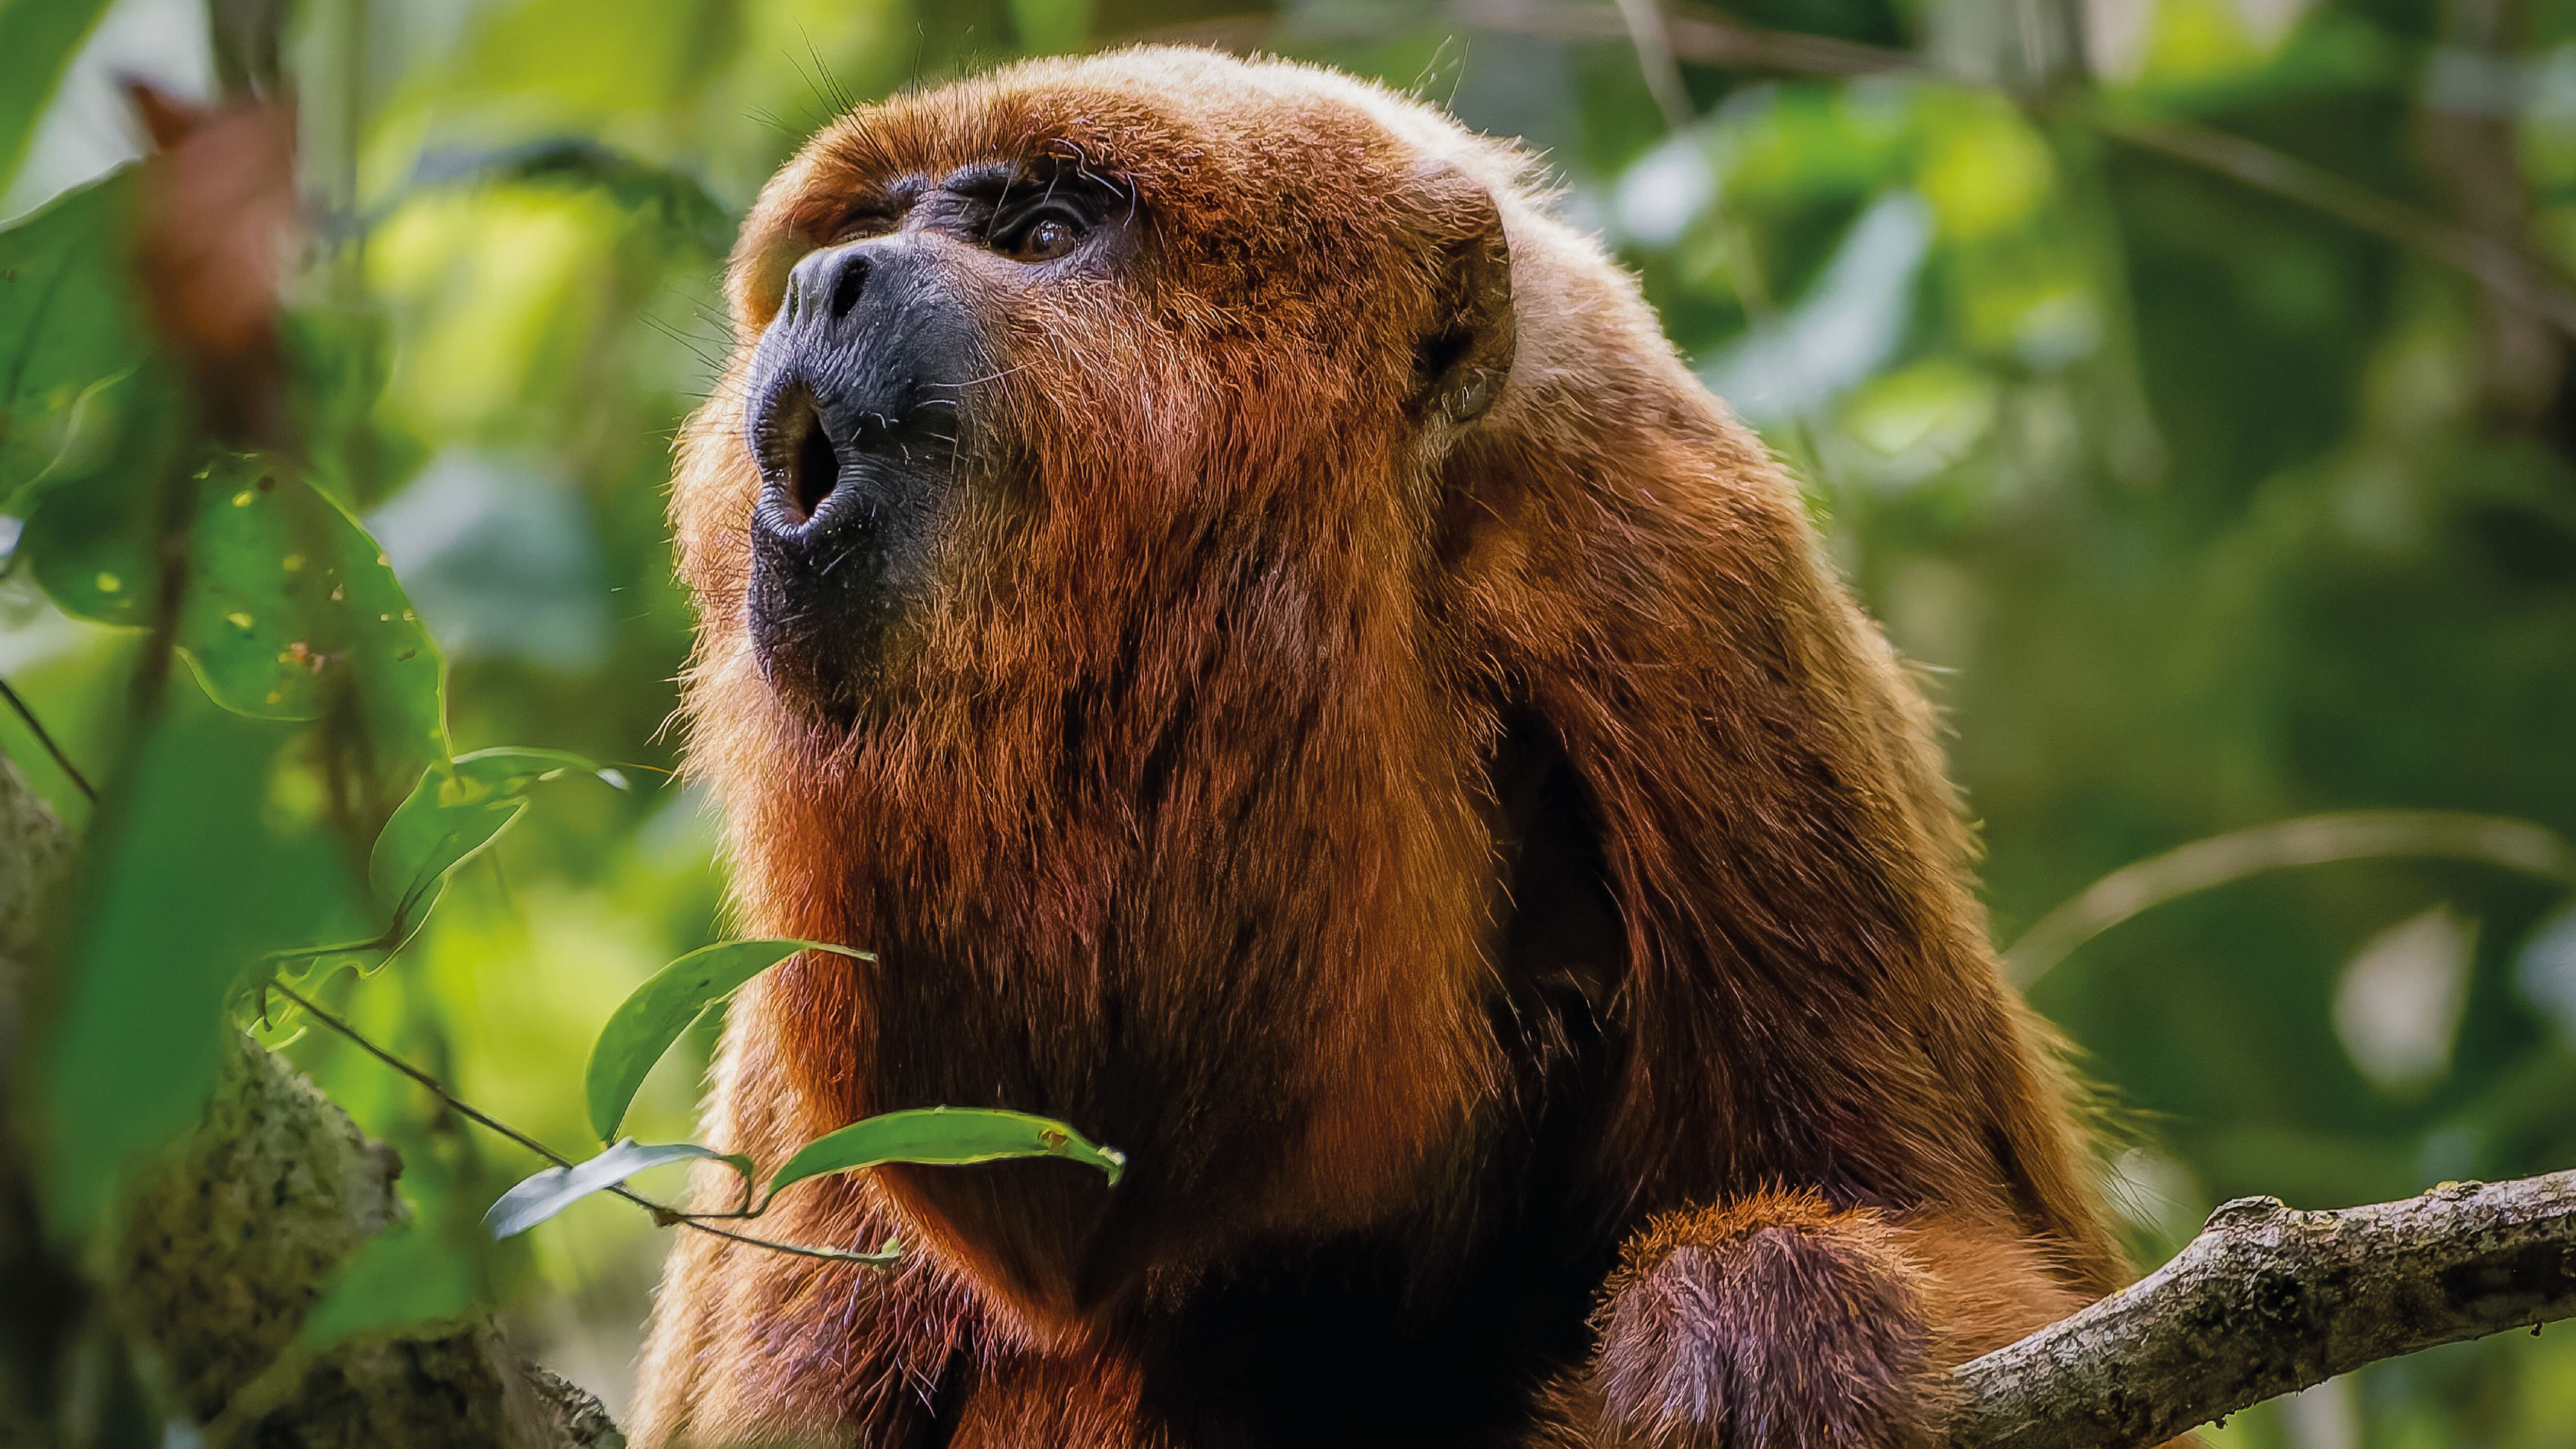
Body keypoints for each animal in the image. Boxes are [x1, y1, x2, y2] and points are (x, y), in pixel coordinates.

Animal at [637, 45, 2128, 1449]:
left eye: (1045, 231)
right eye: (869, 224)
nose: (826, 282)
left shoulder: (1693, 596)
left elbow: (1952, 1233)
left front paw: (1767, 1330)